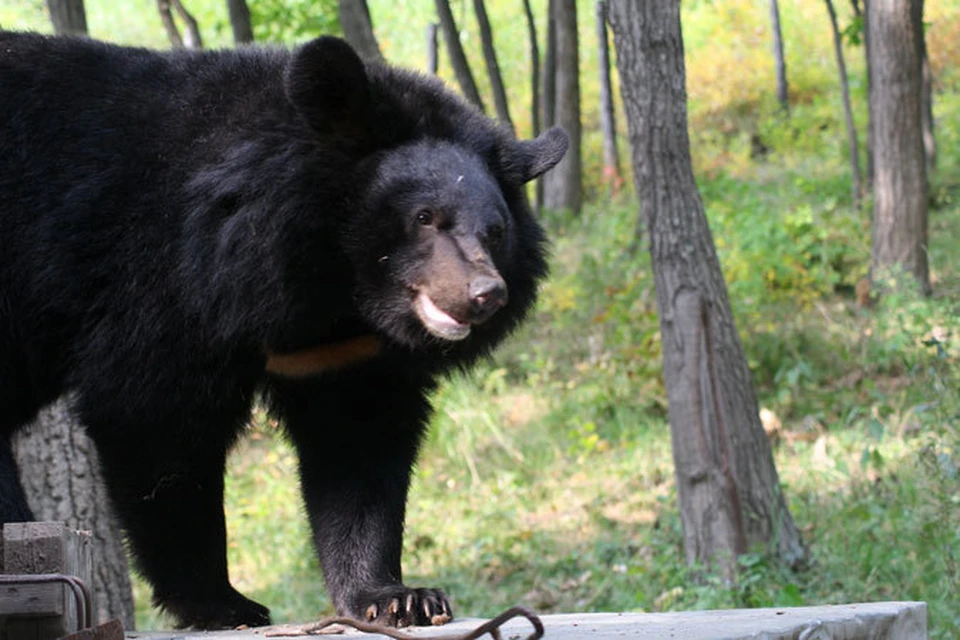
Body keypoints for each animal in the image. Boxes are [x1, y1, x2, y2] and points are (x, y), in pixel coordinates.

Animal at [0, 32, 568, 628]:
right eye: (424, 217)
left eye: (496, 230)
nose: (485, 294)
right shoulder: (161, 281)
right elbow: (156, 422)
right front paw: (227, 604)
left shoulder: (340, 351)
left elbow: (356, 445)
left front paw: (395, 596)